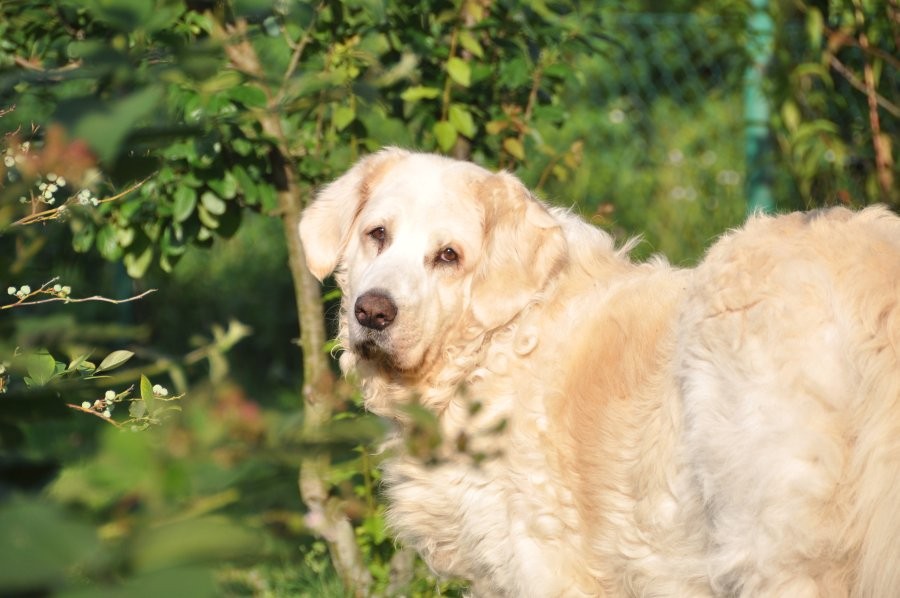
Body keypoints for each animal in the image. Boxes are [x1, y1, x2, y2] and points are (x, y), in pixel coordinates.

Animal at [300, 146, 900, 598]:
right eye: (377, 234)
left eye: (449, 255)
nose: (372, 312)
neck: (496, 345)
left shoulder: (542, 569)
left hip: (770, 541)